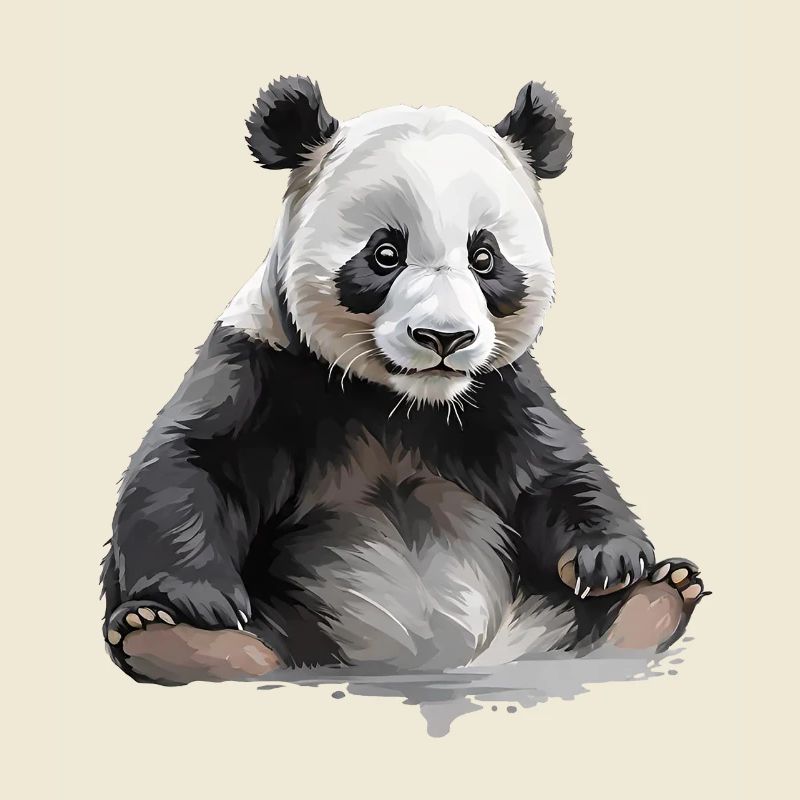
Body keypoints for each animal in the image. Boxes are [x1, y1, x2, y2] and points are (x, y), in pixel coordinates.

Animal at [102, 76, 708, 684]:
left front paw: (610, 560)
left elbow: (554, 470)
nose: (444, 338)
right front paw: (200, 599)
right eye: (385, 253)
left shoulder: (499, 391)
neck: (400, 402)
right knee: (255, 642)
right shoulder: (263, 364)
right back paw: (181, 639)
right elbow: (192, 462)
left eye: (484, 257)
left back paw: (653, 600)